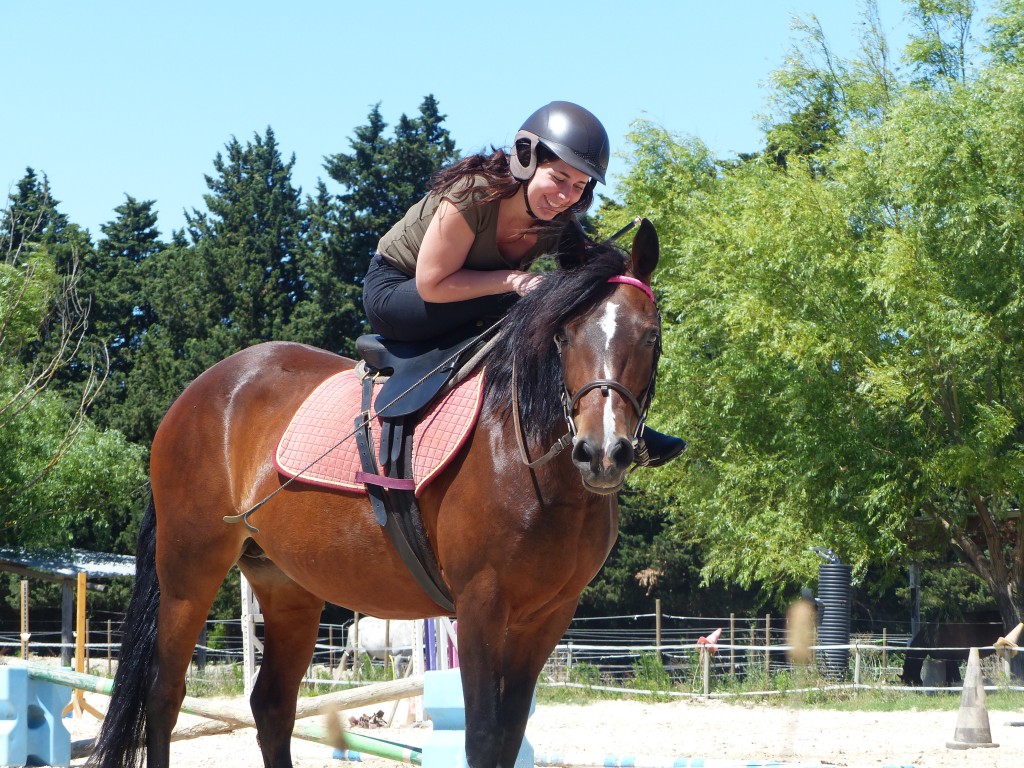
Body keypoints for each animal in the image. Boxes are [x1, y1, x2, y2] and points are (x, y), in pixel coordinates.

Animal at [88, 219, 663, 765]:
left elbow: (507, 736)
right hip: (188, 575)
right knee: (163, 696)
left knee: (271, 705)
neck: (532, 464)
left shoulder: (547, 618)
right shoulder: (480, 605)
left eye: (651, 336)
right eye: (564, 337)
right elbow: (482, 738)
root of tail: (199, 391)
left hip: (287, 585)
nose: (601, 452)